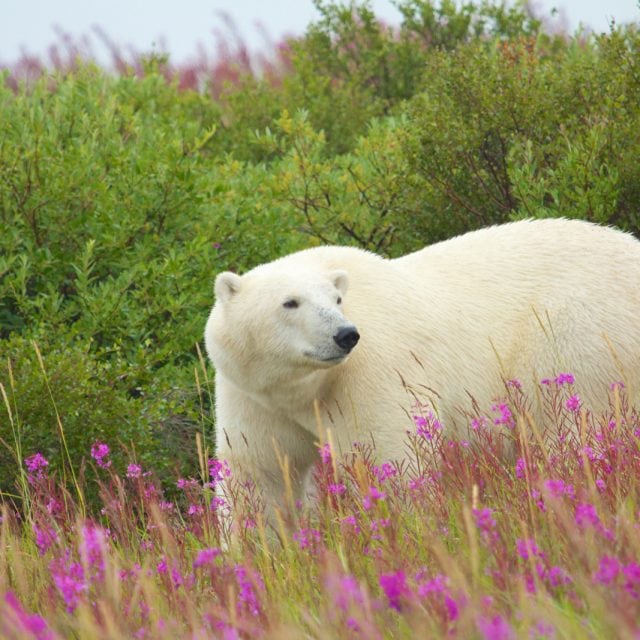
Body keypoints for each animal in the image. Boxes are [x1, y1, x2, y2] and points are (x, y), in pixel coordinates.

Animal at [204, 218, 640, 521]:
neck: (305, 387)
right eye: (290, 302)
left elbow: (390, 454)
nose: (345, 335)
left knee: (576, 422)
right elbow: (259, 474)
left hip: (580, 335)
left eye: (336, 299)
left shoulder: (373, 369)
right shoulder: (251, 393)